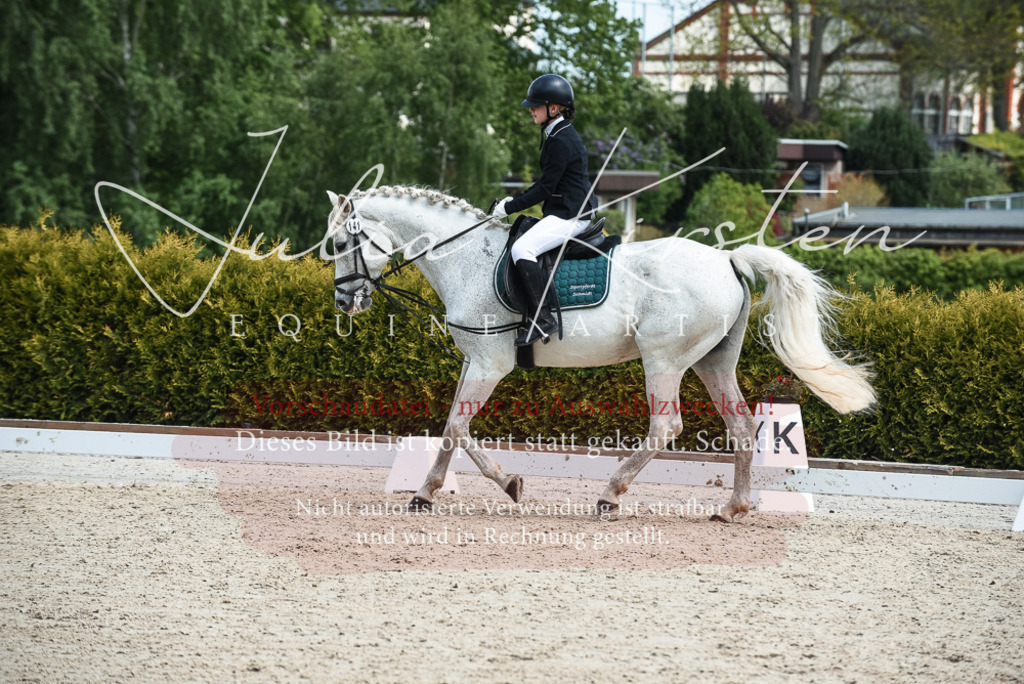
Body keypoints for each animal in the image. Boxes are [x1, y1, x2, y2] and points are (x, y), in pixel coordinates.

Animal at [326, 185, 875, 522]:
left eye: (339, 243)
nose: (345, 303)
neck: (467, 261)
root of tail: (727, 259)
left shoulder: (490, 363)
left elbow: (460, 426)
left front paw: (510, 484)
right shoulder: (473, 362)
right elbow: (448, 427)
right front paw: (424, 493)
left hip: (663, 359)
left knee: (666, 426)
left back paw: (610, 494)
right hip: (712, 360)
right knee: (740, 425)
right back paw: (732, 508)